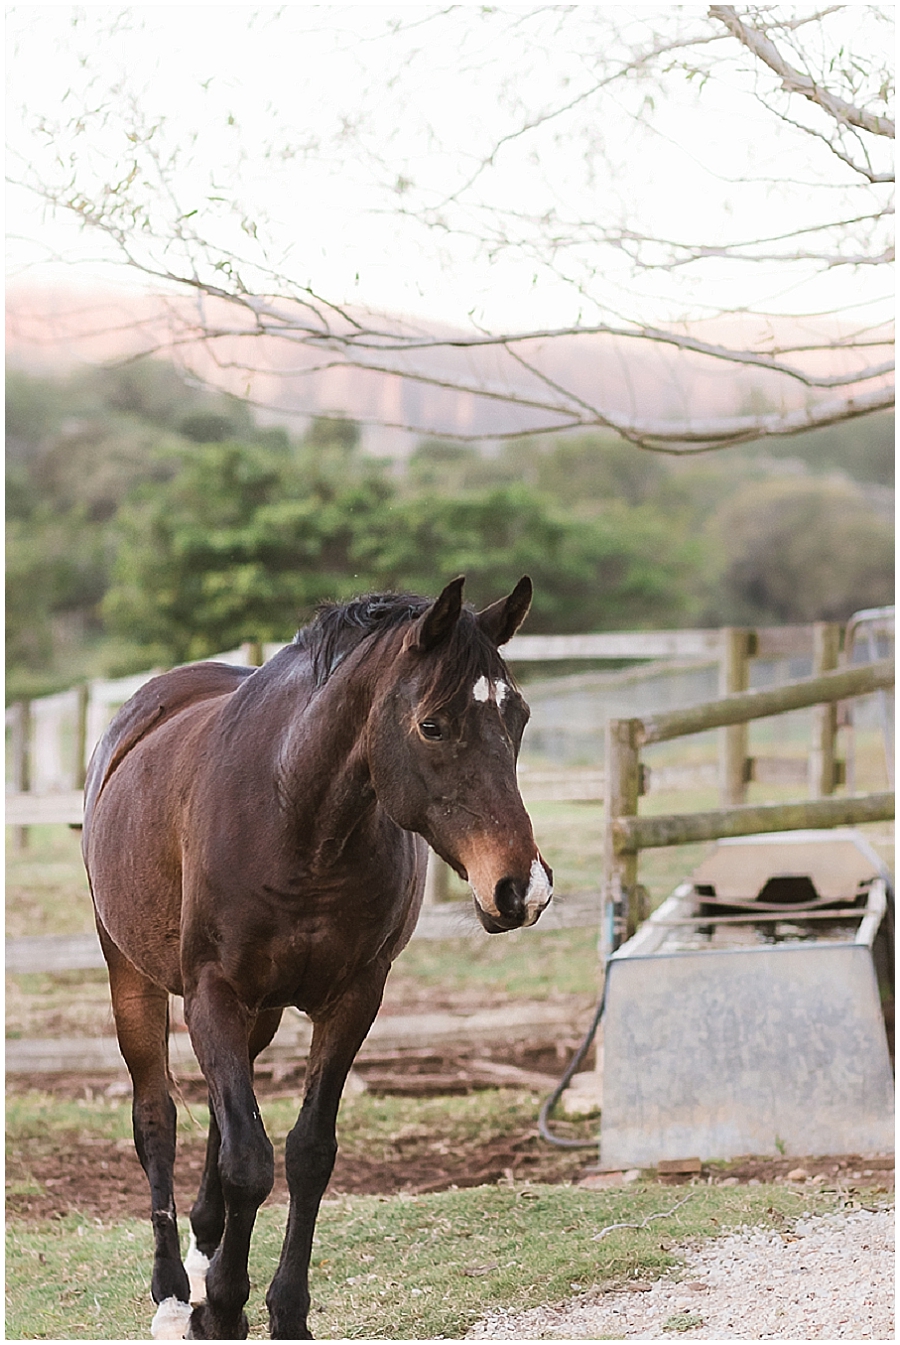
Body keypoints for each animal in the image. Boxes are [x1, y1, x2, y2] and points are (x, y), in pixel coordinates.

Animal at [81, 575, 553, 1340]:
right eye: (433, 725)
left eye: (519, 715)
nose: (522, 888)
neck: (296, 818)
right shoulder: (213, 993)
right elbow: (249, 1160)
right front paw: (227, 1304)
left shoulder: (354, 997)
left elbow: (306, 1153)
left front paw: (283, 1309)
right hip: (133, 978)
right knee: (158, 1120)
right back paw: (177, 1296)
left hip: (262, 1013)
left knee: (220, 1115)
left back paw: (207, 1251)